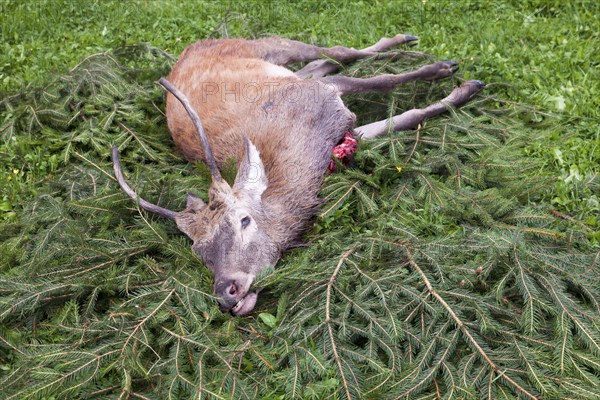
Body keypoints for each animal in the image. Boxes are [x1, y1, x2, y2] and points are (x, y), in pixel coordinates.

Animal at [112, 35, 486, 316]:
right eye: (198, 252)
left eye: (244, 220)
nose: (227, 293)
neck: (307, 157)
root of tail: (192, 48)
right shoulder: (343, 132)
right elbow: (404, 119)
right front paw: (458, 92)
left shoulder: (323, 96)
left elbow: (384, 82)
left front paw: (457, 81)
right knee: (323, 62)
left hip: (265, 46)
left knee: (336, 52)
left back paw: (416, 51)